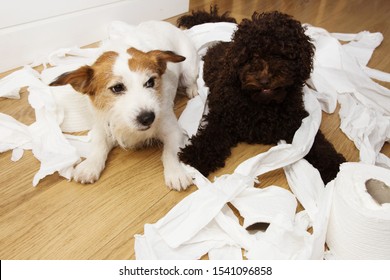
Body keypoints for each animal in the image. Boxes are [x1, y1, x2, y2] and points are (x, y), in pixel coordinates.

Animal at [50, 20, 198, 190]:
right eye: (117, 88)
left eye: (150, 82)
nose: (148, 118)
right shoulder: (103, 125)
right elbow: (99, 145)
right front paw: (90, 166)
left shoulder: (172, 129)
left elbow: (170, 152)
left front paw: (175, 172)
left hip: (189, 70)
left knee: (191, 79)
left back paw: (193, 89)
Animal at [177, 10, 344, 184]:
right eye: (251, 55)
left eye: (280, 54)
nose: (264, 80)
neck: (263, 105)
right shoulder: (223, 119)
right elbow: (211, 137)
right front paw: (194, 156)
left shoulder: (296, 122)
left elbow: (318, 144)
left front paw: (333, 166)